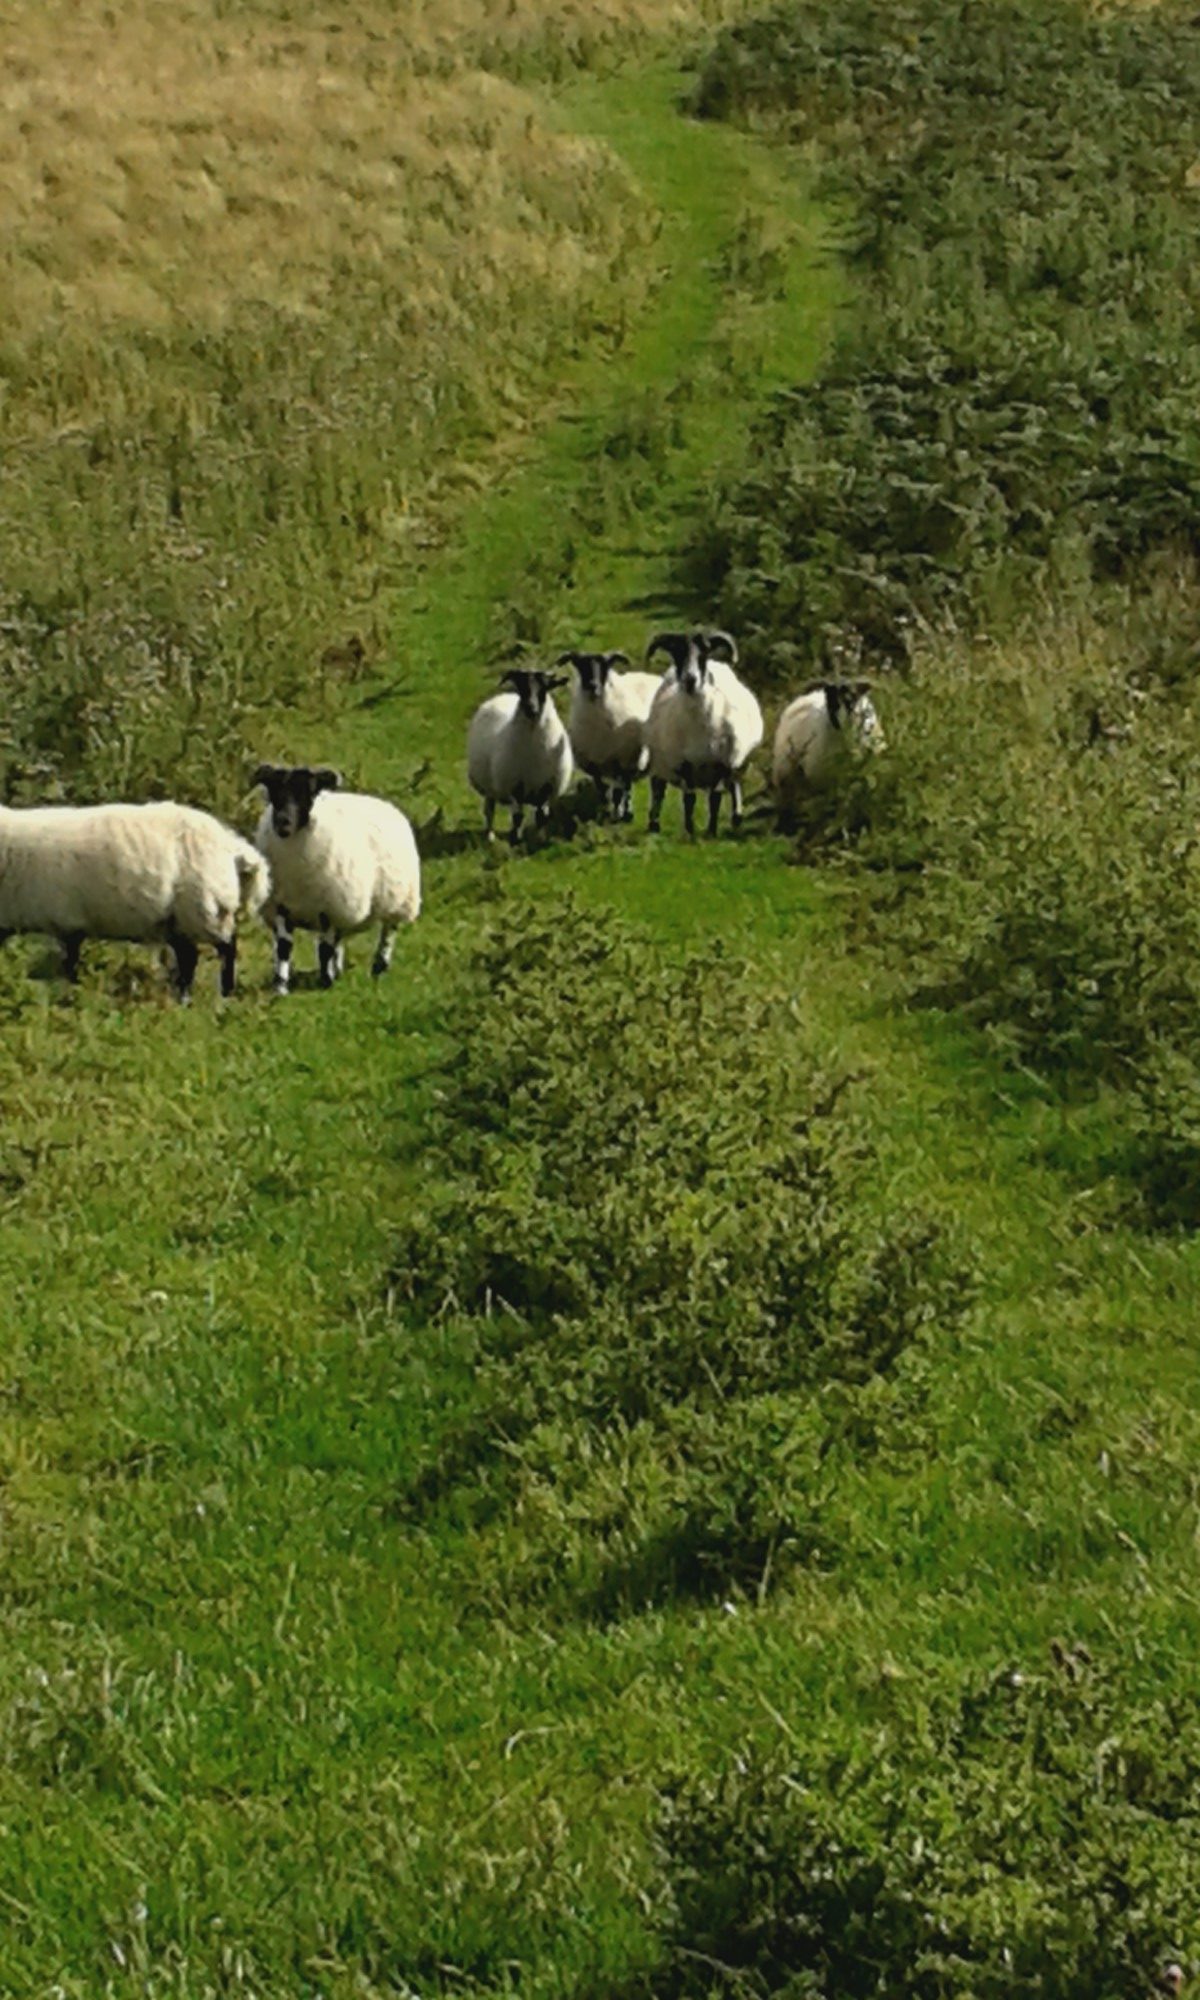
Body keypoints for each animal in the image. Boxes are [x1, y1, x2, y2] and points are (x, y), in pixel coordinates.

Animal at [0, 799, 269, 999]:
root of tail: (232, 846)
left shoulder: (67, 920)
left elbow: (70, 964)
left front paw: (71, 994)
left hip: (203, 906)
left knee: (225, 948)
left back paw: (220, 993)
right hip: (179, 917)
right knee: (190, 955)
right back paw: (183, 995)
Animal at [253, 765, 420, 995]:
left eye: (309, 791)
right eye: (273, 790)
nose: (282, 822)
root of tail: (388, 805)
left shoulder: (329, 908)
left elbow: (324, 949)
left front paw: (325, 982)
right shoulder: (281, 906)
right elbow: (284, 947)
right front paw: (280, 986)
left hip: (398, 898)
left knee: (388, 932)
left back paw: (379, 966)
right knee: (338, 940)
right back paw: (339, 969)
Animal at [466, 668, 574, 844]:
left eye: (545, 687)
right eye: (522, 687)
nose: (531, 708)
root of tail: (503, 696)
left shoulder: (547, 786)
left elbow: (541, 816)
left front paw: (539, 837)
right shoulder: (514, 786)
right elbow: (517, 817)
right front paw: (515, 839)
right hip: (489, 786)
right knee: (489, 810)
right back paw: (490, 835)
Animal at [561, 649, 661, 822]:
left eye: (605, 666)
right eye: (581, 665)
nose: (593, 686)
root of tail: (650, 675)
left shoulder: (624, 760)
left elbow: (619, 792)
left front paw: (620, 814)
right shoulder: (593, 765)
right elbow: (602, 790)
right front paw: (606, 809)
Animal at [644, 629, 764, 836]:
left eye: (705, 652)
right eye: (677, 652)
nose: (690, 680)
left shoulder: (723, 763)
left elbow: (715, 798)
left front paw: (712, 831)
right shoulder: (684, 765)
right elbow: (689, 799)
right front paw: (690, 831)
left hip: (738, 761)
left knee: (735, 784)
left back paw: (737, 817)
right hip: (661, 760)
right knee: (658, 788)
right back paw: (654, 824)